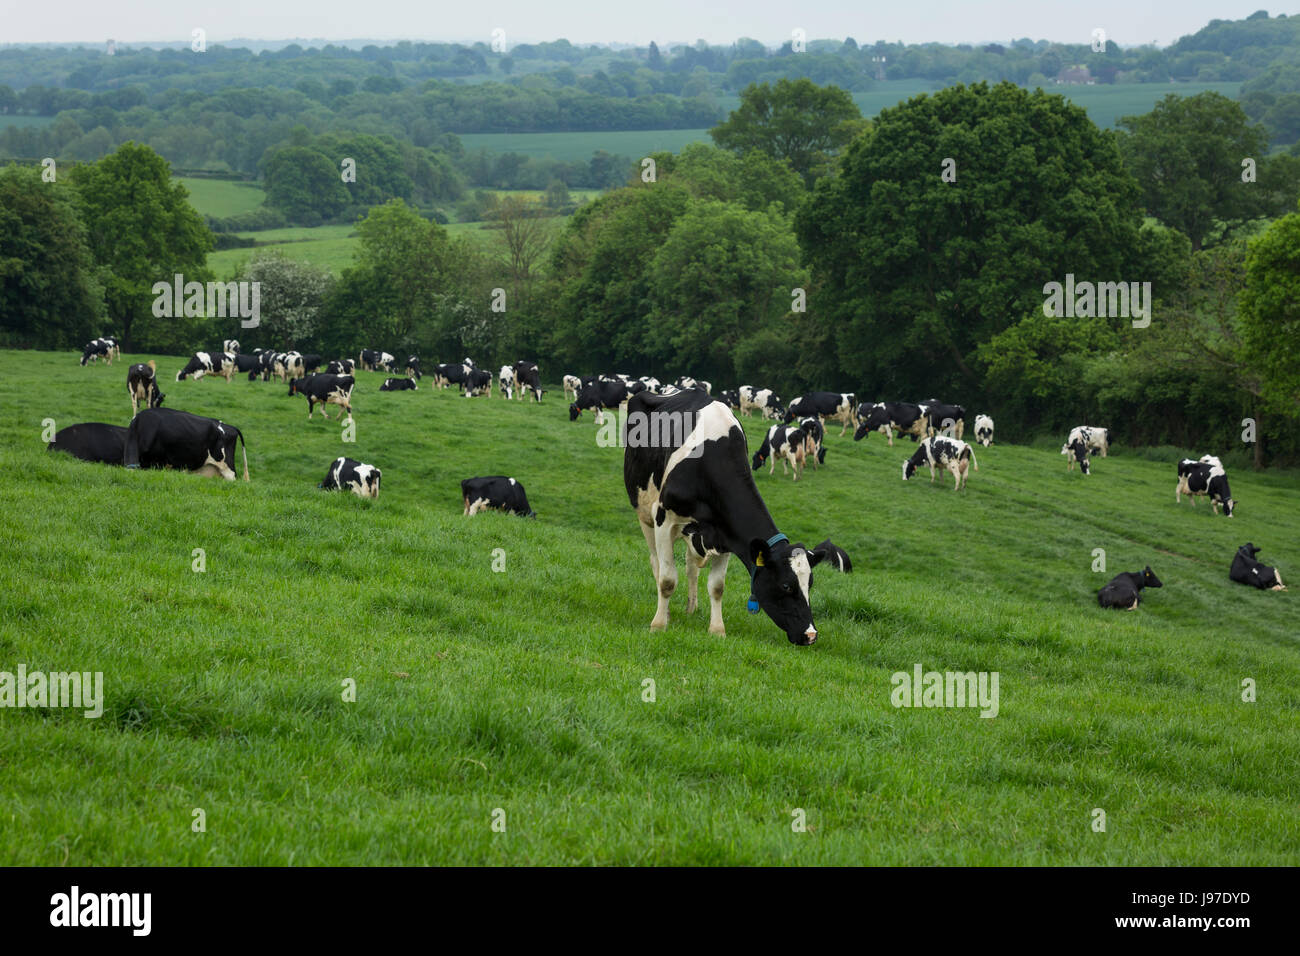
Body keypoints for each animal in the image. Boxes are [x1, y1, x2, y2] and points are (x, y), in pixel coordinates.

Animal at [623, 388, 851, 645]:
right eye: (786, 585)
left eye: (809, 584)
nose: (810, 635)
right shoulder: (665, 519)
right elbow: (667, 580)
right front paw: (659, 625)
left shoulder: (725, 533)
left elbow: (717, 586)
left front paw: (717, 630)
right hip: (645, 514)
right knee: (656, 563)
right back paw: (667, 612)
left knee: (692, 568)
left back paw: (692, 608)